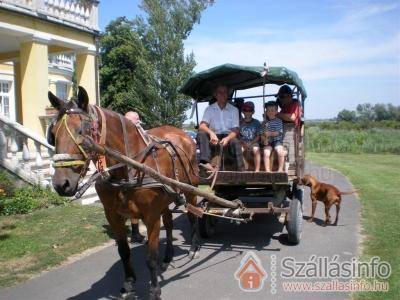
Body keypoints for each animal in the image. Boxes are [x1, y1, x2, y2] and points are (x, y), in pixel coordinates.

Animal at [48, 86, 200, 300]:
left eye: (82, 131)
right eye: (53, 133)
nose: (61, 184)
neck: (129, 168)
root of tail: (183, 134)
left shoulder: (151, 216)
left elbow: (150, 256)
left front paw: (154, 290)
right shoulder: (113, 215)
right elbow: (123, 251)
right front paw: (128, 283)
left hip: (190, 187)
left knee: (192, 215)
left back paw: (193, 248)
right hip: (167, 195)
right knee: (169, 223)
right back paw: (168, 255)